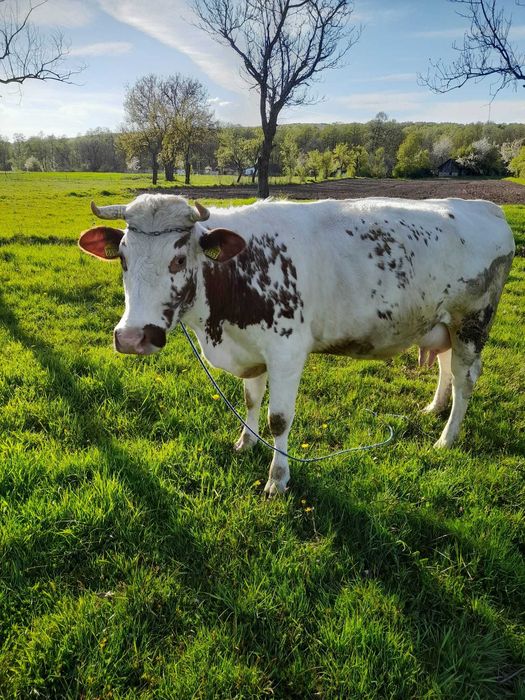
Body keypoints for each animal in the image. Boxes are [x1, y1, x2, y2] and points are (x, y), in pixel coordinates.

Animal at [79, 194, 515, 496]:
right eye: (122, 257)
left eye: (179, 258)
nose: (133, 337)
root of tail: (485, 207)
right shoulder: (250, 349)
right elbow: (251, 399)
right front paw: (245, 442)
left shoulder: (286, 352)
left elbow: (279, 419)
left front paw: (277, 478)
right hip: (441, 323)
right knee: (444, 365)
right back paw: (433, 408)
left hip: (472, 322)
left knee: (465, 379)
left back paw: (446, 438)